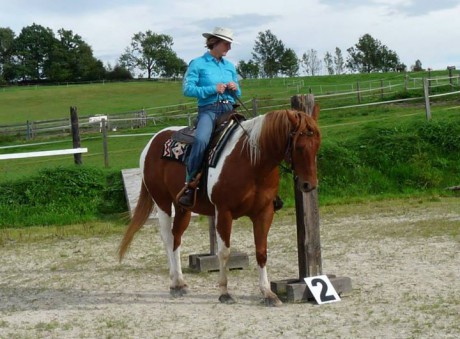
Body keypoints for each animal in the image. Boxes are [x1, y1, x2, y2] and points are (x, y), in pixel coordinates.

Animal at [118, 107, 320, 308]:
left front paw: (268, 293)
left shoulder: (264, 212)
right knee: (168, 238)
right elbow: (224, 253)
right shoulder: (224, 212)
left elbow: (261, 252)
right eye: (299, 147)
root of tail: (153, 141)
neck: (250, 161)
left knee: (177, 238)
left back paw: (181, 283)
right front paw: (224, 292)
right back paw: (174, 284)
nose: (308, 185)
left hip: (182, 207)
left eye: (317, 144)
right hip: (163, 202)